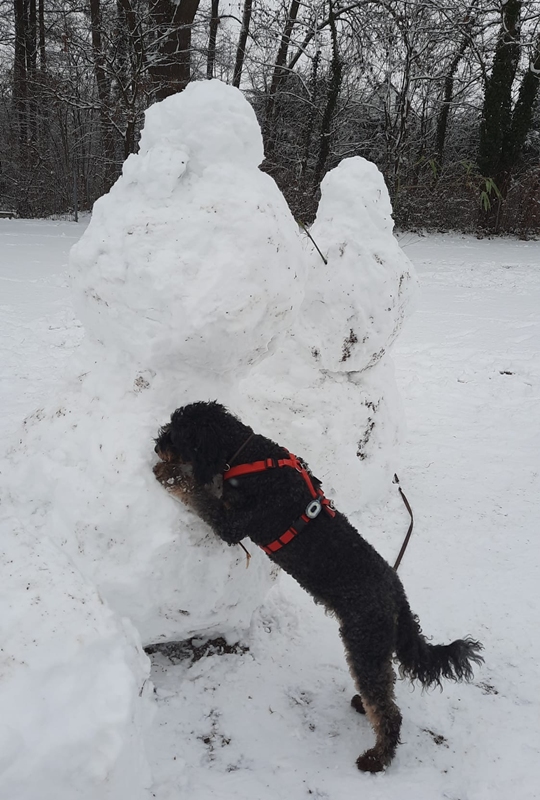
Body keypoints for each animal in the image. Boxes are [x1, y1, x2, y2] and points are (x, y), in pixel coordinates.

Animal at [153, 401, 483, 772]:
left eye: (176, 433)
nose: (157, 445)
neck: (247, 455)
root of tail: (397, 594)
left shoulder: (233, 525)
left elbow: (200, 495)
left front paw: (169, 473)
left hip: (364, 644)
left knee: (389, 711)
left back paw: (375, 758)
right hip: (375, 648)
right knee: (384, 690)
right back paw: (362, 707)